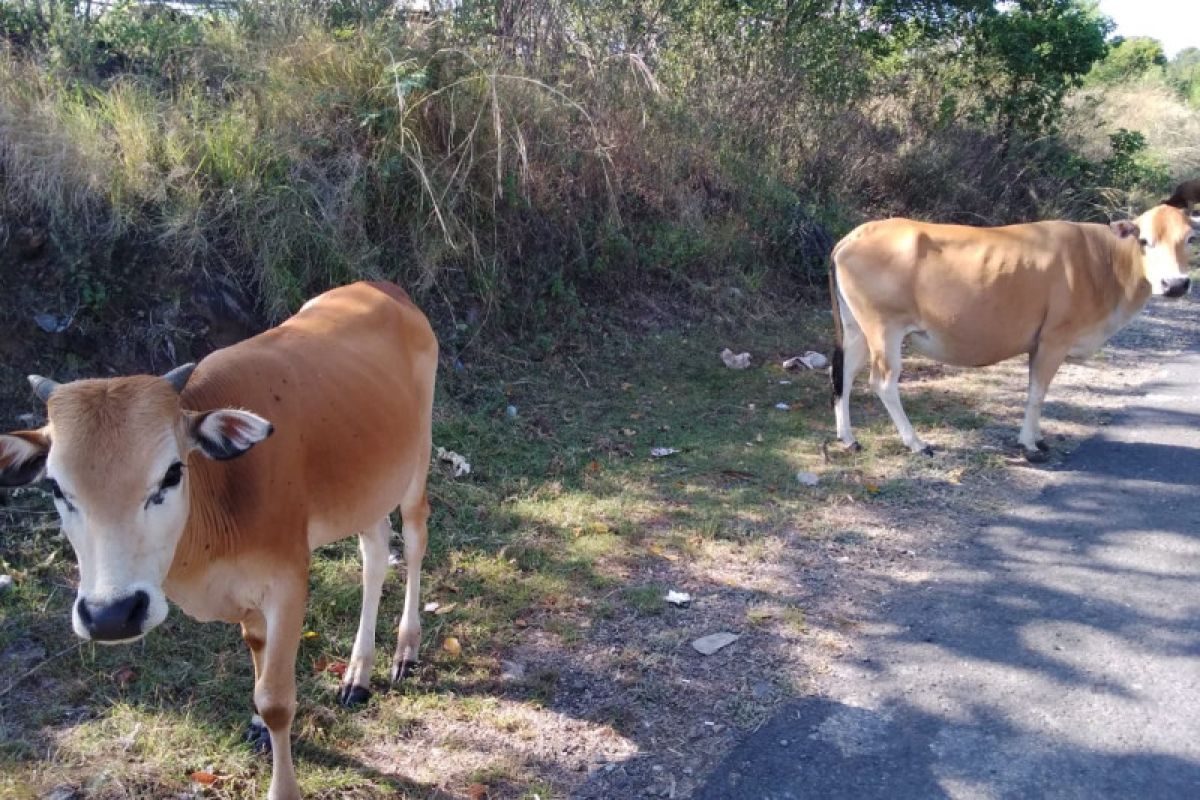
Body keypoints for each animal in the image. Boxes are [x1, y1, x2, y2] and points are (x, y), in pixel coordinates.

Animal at [0, 281, 439, 800]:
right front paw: (257, 725)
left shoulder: (289, 580)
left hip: (417, 460)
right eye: (55, 486)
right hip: (367, 487)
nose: (111, 615)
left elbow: (276, 699)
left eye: (172, 472)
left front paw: (281, 782)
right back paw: (358, 673)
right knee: (374, 552)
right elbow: (258, 654)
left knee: (413, 538)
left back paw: (405, 649)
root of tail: (383, 288)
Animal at [830, 203, 1195, 460]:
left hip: (857, 329)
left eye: (1191, 239)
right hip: (884, 329)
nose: (1175, 284)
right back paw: (916, 443)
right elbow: (1037, 393)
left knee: (843, 374)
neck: (1101, 261)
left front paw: (1038, 438)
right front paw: (1029, 445)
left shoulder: (1039, 343)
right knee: (883, 382)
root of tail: (853, 236)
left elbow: (1037, 392)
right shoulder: (1054, 339)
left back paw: (848, 439)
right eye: (1145, 241)